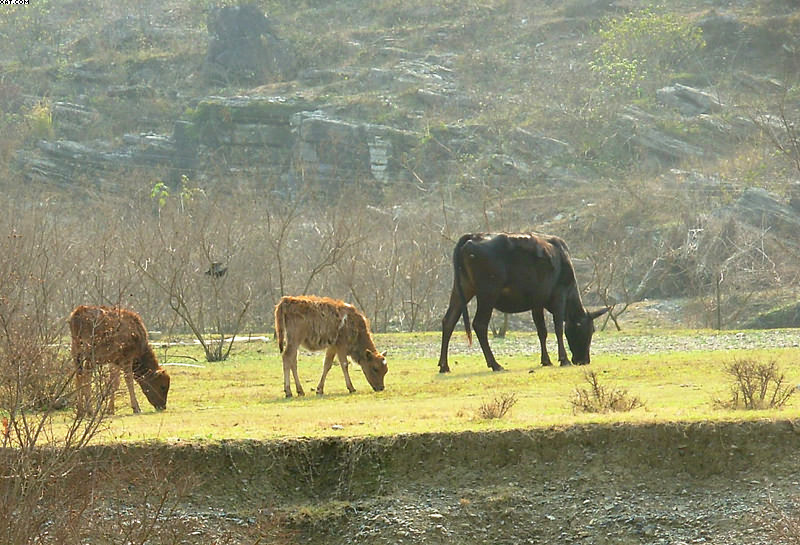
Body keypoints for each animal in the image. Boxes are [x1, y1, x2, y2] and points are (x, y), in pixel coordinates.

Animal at [438, 232, 608, 372]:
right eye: (589, 330)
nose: (584, 360)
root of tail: (473, 236)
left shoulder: (537, 302)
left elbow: (542, 331)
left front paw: (546, 360)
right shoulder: (559, 295)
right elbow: (558, 328)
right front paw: (563, 359)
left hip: (463, 288)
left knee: (449, 321)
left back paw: (444, 366)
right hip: (488, 293)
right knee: (479, 324)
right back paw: (495, 364)